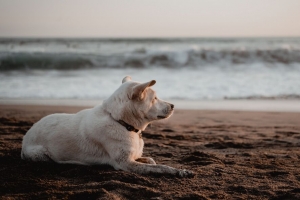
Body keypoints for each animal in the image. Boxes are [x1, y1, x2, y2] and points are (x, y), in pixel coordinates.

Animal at [22, 76, 193, 177]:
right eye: (155, 98)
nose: (173, 105)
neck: (122, 122)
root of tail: (26, 137)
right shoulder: (125, 163)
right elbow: (161, 167)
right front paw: (180, 171)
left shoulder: (131, 157)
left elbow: (151, 161)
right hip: (40, 154)